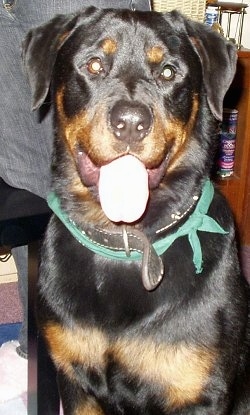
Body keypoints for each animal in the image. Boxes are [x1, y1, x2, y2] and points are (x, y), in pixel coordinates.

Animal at [22, 6, 249, 415]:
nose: (130, 122)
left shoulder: (199, 392)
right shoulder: (74, 378)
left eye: (169, 73)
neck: (127, 240)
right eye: (94, 65)